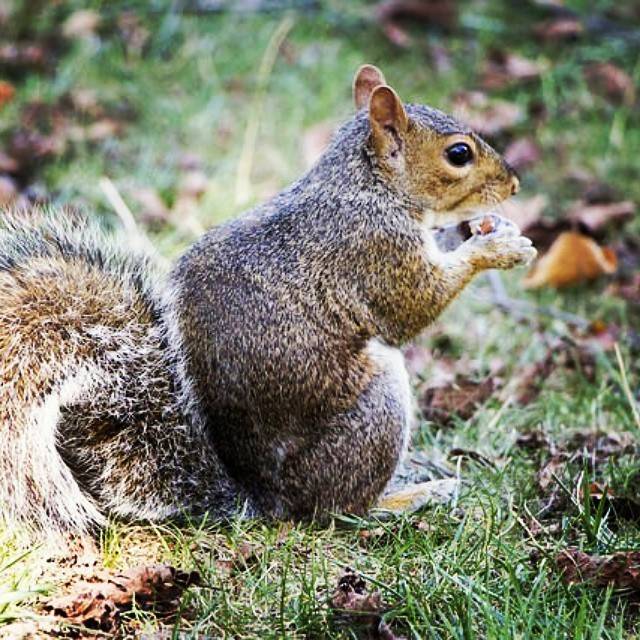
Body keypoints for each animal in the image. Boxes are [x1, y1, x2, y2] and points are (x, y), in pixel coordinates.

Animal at [0, 65, 535, 535]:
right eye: (459, 154)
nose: (514, 184)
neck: (365, 187)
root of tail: (264, 500)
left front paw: (486, 231)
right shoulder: (374, 250)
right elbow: (413, 307)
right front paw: (497, 248)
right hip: (377, 406)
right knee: (337, 510)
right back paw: (406, 498)